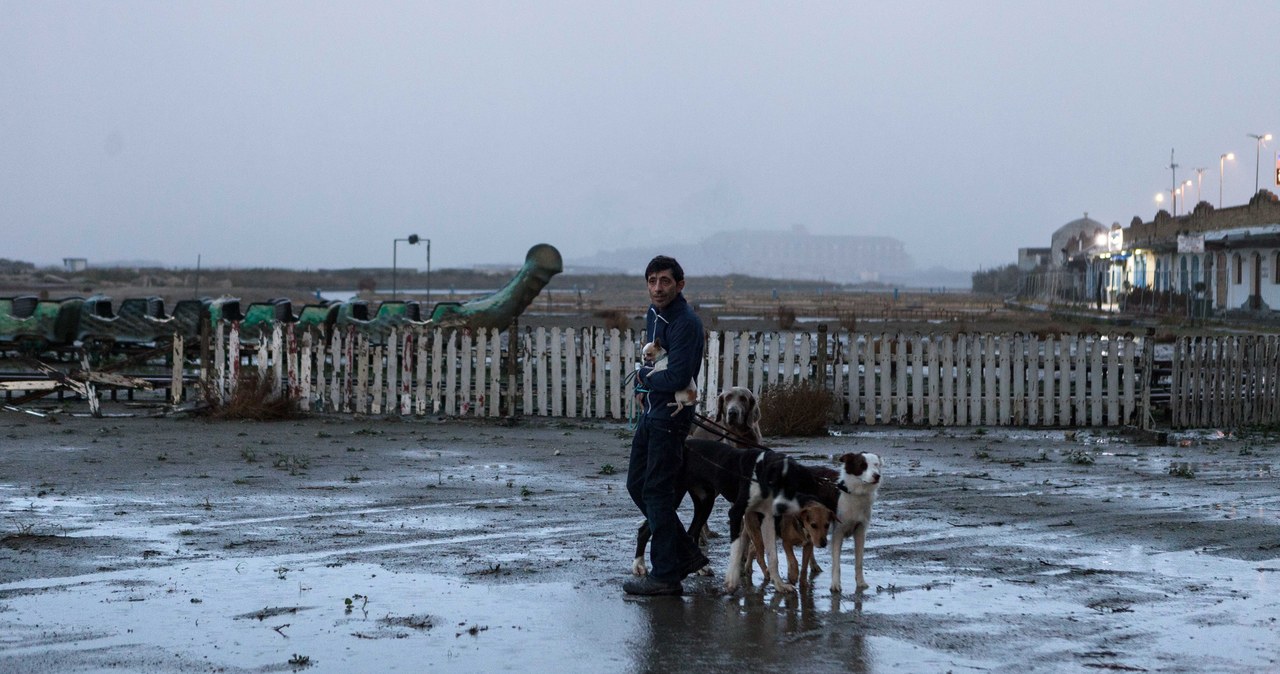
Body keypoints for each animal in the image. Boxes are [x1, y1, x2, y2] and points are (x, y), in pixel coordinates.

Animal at [829, 450, 880, 593]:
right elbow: (836, 563)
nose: (877, 476)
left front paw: (861, 582)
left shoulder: (860, 530)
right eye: (863, 465)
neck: (855, 492)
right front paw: (835, 584)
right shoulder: (838, 532)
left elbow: (859, 562)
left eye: (876, 465)